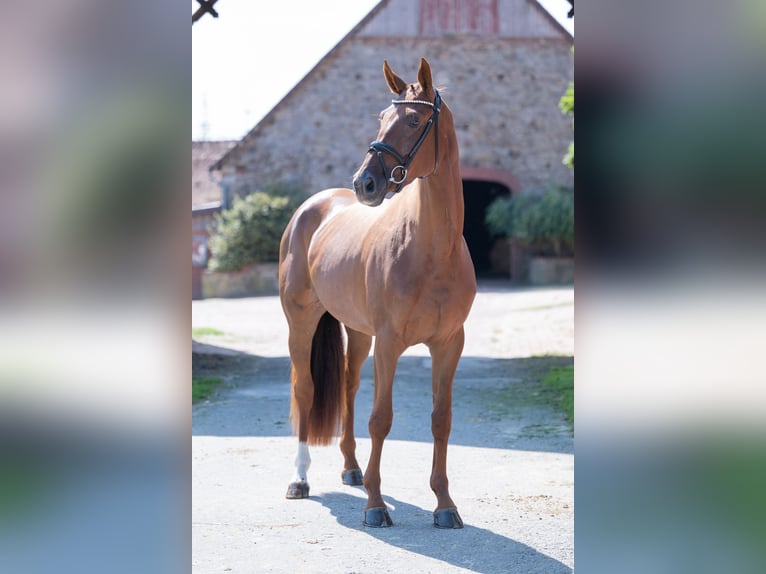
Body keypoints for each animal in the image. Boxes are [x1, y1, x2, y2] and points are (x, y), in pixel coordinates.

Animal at [278, 58, 476, 529]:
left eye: (414, 120)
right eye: (382, 118)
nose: (364, 183)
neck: (432, 250)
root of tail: (309, 209)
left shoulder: (449, 344)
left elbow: (441, 419)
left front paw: (444, 505)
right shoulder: (390, 343)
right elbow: (381, 419)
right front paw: (375, 505)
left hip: (358, 332)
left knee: (348, 388)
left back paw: (351, 469)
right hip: (301, 322)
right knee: (305, 389)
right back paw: (300, 479)